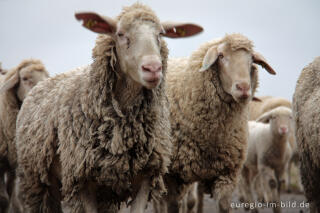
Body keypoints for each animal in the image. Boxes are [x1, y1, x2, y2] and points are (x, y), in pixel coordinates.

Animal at [14, 3, 202, 213]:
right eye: (120, 34)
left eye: (160, 34)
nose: (153, 68)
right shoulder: (82, 179)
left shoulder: (145, 177)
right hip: (39, 181)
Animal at [155, 33, 276, 213]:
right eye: (221, 56)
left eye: (251, 60)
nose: (243, 88)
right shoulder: (173, 176)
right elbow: (173, 205)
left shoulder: (227, 175)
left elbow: (223, 205)